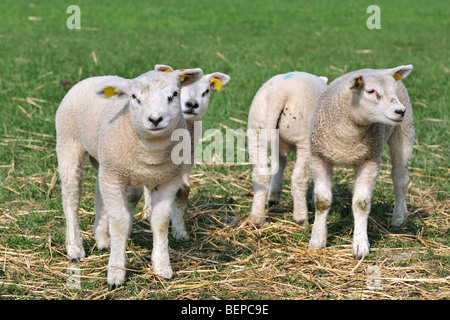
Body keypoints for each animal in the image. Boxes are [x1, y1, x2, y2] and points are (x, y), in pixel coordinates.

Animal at [55, 66, 203, 288]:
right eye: (134, 97)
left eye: (174, 94)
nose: (155, 119)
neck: (150, 151)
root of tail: (94, 77)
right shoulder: (114, 177)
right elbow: (119, 223)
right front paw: (116, 272)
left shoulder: (169, 180)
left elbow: (160, 222)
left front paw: (162, 267)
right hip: (68, 143)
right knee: (71, 197)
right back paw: (75, 248)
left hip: (105, 162)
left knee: (98, 191)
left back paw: (102, 239)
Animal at [142, 64, 230, 240]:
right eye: (178, 90)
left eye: (206, 91)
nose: (192, 104)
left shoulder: (186, 164)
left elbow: (182, 191)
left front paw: (180, 232)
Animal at [248, 72, 328, 225]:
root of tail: (278, 93)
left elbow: (280, 164)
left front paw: (274, 196)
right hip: (304, 139)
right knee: (299, 178)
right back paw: (301, 219)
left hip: (256, 134)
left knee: (260, 175)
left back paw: (257, 219)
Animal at [310, 63, 414, 258]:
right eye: (371, 91)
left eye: (393, 90)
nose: (400, 111)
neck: (348, 135)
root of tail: (381, 68)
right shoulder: (319, 158)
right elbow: (322, 202)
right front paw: (317, 240)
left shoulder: (369, 161)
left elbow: (361, 204)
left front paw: (360, 245)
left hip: (404, 133)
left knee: (400, 179)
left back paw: (398, 216)